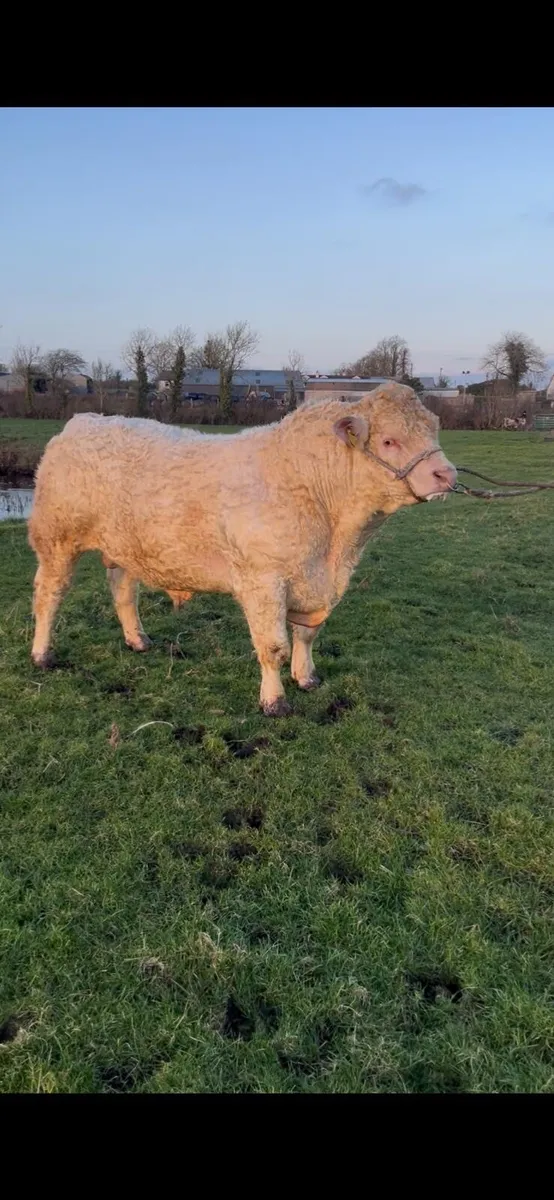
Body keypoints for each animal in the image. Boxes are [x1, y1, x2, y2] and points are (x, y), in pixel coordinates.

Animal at [28, 383, 456, 715]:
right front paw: (274, 701)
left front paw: (307, 677)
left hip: (124, 545)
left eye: (434, 433)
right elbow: (274, 646)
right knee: (49, 595)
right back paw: (42, 654)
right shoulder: (264, 580)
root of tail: (84, 420)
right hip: (56, 539)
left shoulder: (315, 583)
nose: (446, 474)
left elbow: (306, 636)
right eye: (389, 441)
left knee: (122, 591)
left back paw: (138, 640)